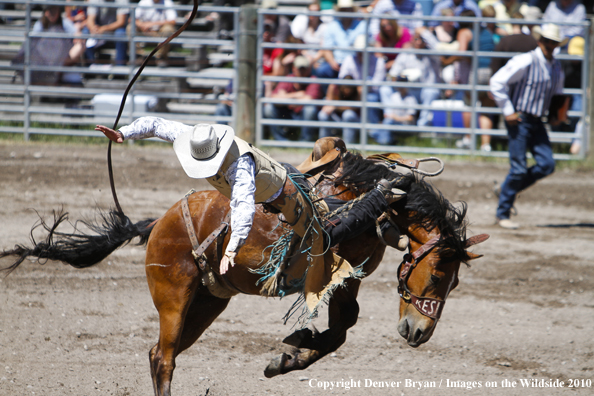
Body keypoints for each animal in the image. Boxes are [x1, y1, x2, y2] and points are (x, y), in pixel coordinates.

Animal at [1, 149, 486, 396]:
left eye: (456, 280)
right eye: (438, 274)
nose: (419, 332)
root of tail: (158, 223)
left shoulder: (347, 279)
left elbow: (343, 327)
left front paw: (289, 355)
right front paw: (292, 351)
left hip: (207, 304)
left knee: (161, 354)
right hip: (174, 297)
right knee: (163, 358)